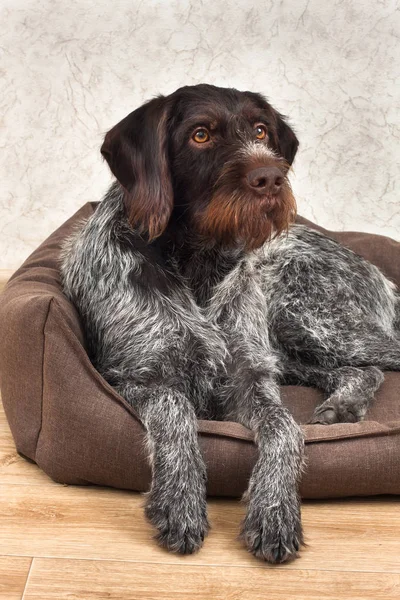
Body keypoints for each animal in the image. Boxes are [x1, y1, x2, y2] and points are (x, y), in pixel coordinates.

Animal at [59, 83, 400, 564]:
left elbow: (285, 428)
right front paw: (180, 500)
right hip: (296, 334)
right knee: (362, 369)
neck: (198, 263)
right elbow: (177, 410)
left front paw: (275, 512)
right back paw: (343, 406)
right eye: (200, 135)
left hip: (306, 319)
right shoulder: (137, 376)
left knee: (371, 363)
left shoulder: (250, 377)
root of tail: (380, 276)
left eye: (260, 130)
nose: (270, 178)